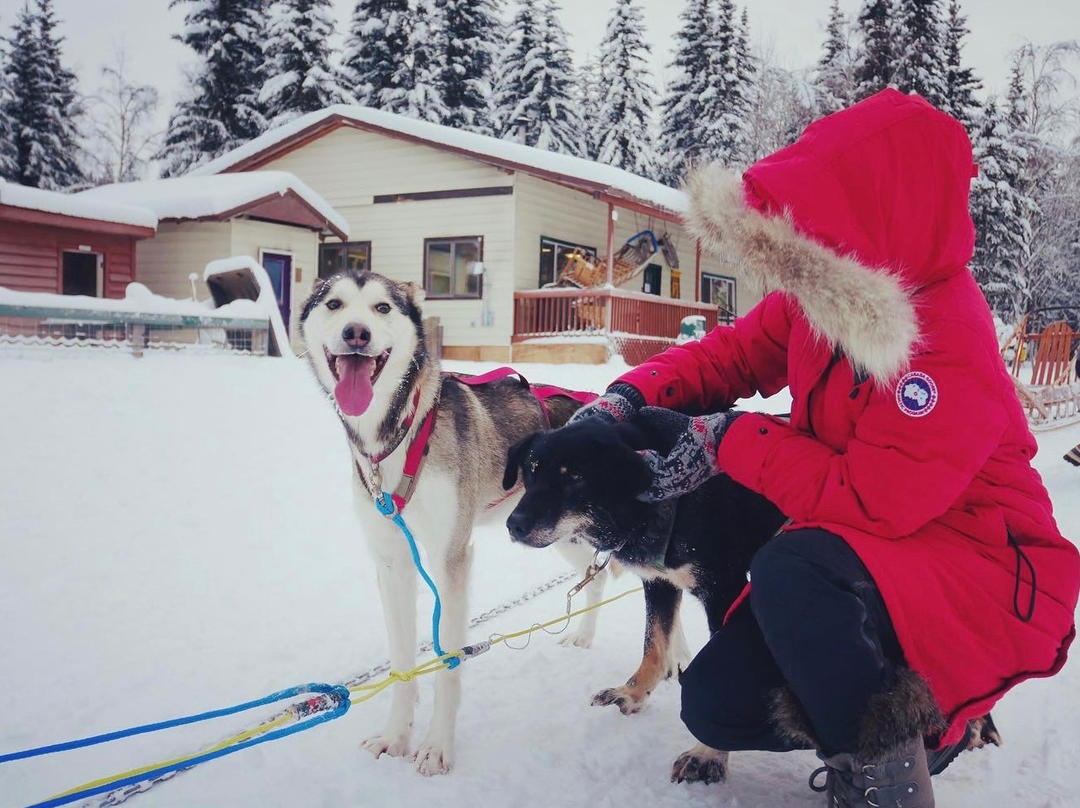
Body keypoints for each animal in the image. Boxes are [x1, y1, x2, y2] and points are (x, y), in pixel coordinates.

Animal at [298, 273, 600, 777]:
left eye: (382, 307)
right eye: (334, 304)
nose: (356, 333)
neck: (399, 435)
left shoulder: (450, 559)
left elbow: (449, 663)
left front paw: (437, 746)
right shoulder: (393, 564)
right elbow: (402, 661)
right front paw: (395, 737)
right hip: (562, 534)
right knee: (597, 574)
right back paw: (584, 635)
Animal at [501, 416, 790, 782]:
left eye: (576, 476)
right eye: (531, 470)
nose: (514, 525)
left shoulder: (724, 592)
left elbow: (724, 682)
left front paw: (708, 753)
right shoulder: (659, 582)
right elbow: (653, 647)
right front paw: (633, 692)